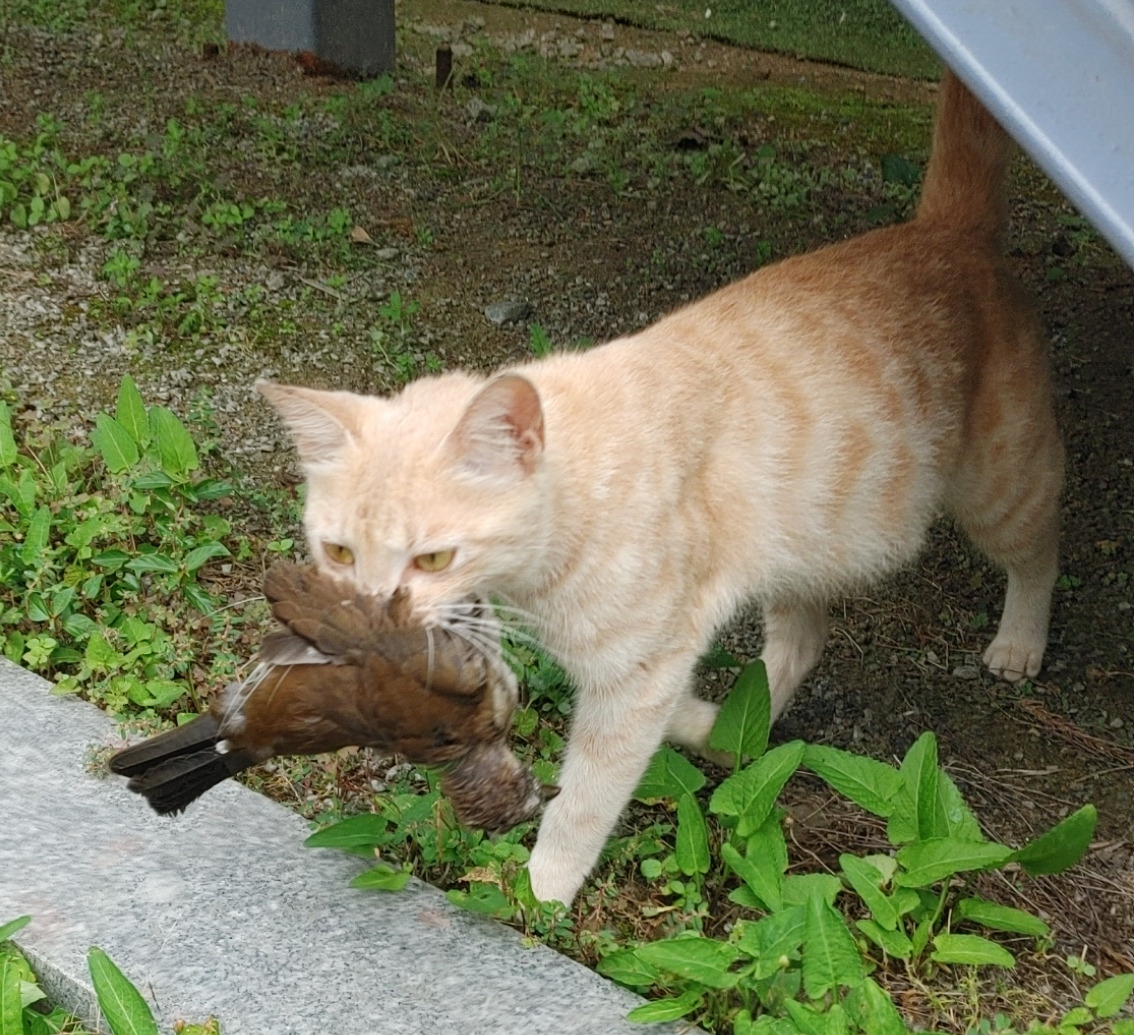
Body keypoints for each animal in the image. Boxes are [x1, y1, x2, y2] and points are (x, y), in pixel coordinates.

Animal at [257, 72, 1061, 902]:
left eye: (433, 558)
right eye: (340, 552)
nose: (369, 622)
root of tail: (942, 231)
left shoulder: (640, 667)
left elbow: (585, 794)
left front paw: (544, 887)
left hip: (999, 488)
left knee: (1040, 551)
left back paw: (1018, 642)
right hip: (807, 545)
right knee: (794, 649)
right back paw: (731, 728)